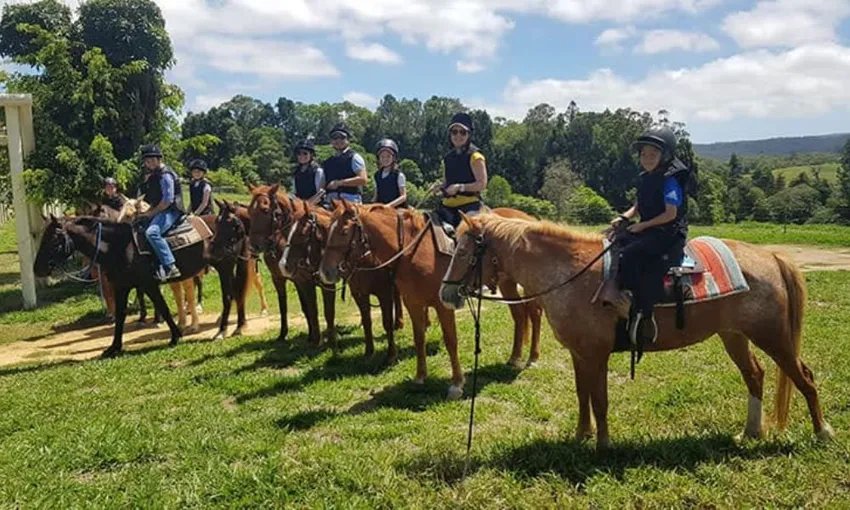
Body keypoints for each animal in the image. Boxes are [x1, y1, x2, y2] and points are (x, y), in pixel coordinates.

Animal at [246, 184, 335, 346]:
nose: (253, 247)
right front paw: (287, 334)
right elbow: (293, 306)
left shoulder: (320, 282)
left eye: (265, 210)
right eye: (249, 210)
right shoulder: (286, 279)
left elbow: (323, 310)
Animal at [279, 199, 404, 362]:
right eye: (289, 232)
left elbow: (386, 322)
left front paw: (391, 355)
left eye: (303, 233)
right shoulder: (357, 293)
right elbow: (365, 320)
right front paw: (368, 351)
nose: (283, 265)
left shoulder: (383, 292)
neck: (367, 259)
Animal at [319, 200, 544, 400]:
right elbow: (419, 338)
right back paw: (515, 357)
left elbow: (451, 340)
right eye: (327, 229)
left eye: (344, 231)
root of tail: (529, 219)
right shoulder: (413, 303)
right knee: (520, 314)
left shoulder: (443, 305)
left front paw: (456, 383)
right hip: (508, 284)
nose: (325, 272)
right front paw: (420, 377)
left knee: (534, 313)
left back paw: (532, 357)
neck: (415, 250)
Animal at [439, 213, 834, 448]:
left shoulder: (596, 354)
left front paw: (602, 446)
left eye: (465, 250)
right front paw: (582, 436)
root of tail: (771, 258)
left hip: (773, 337)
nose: (446, 294)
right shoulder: (580, 354)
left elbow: (599, 400)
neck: (571, 273)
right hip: (734, 335)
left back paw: (822, 431)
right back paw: (751, 431)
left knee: (804, 378)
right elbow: (583, 396)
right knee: (755, 375)